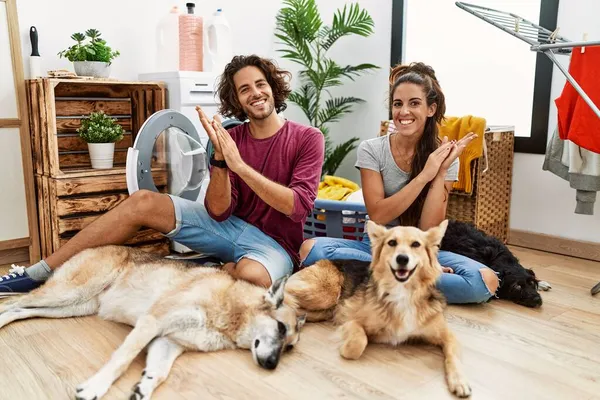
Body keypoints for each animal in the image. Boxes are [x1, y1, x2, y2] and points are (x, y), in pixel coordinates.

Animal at [0, 247, 302, 400]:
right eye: (280, 329)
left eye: (289, 348)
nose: (272, 365)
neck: (230, 312)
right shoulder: (151, 323)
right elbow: (122, 360)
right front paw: (96, 387)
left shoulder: (168, 342)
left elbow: (160, 372)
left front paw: (143, 387)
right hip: (67, 293)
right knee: (12, 302)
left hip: (71, 306)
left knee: (20, 310)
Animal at [286, 220, 474, 398]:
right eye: (392, 242)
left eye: (416, 244)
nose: (402, 259)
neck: (403, 292)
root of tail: (320, 262)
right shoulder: (351, 320)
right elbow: (358, 343)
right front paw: (345, 349)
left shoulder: (447, 335)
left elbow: (454, 357)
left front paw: (460, 382)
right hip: (326, 294)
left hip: (323, 310)